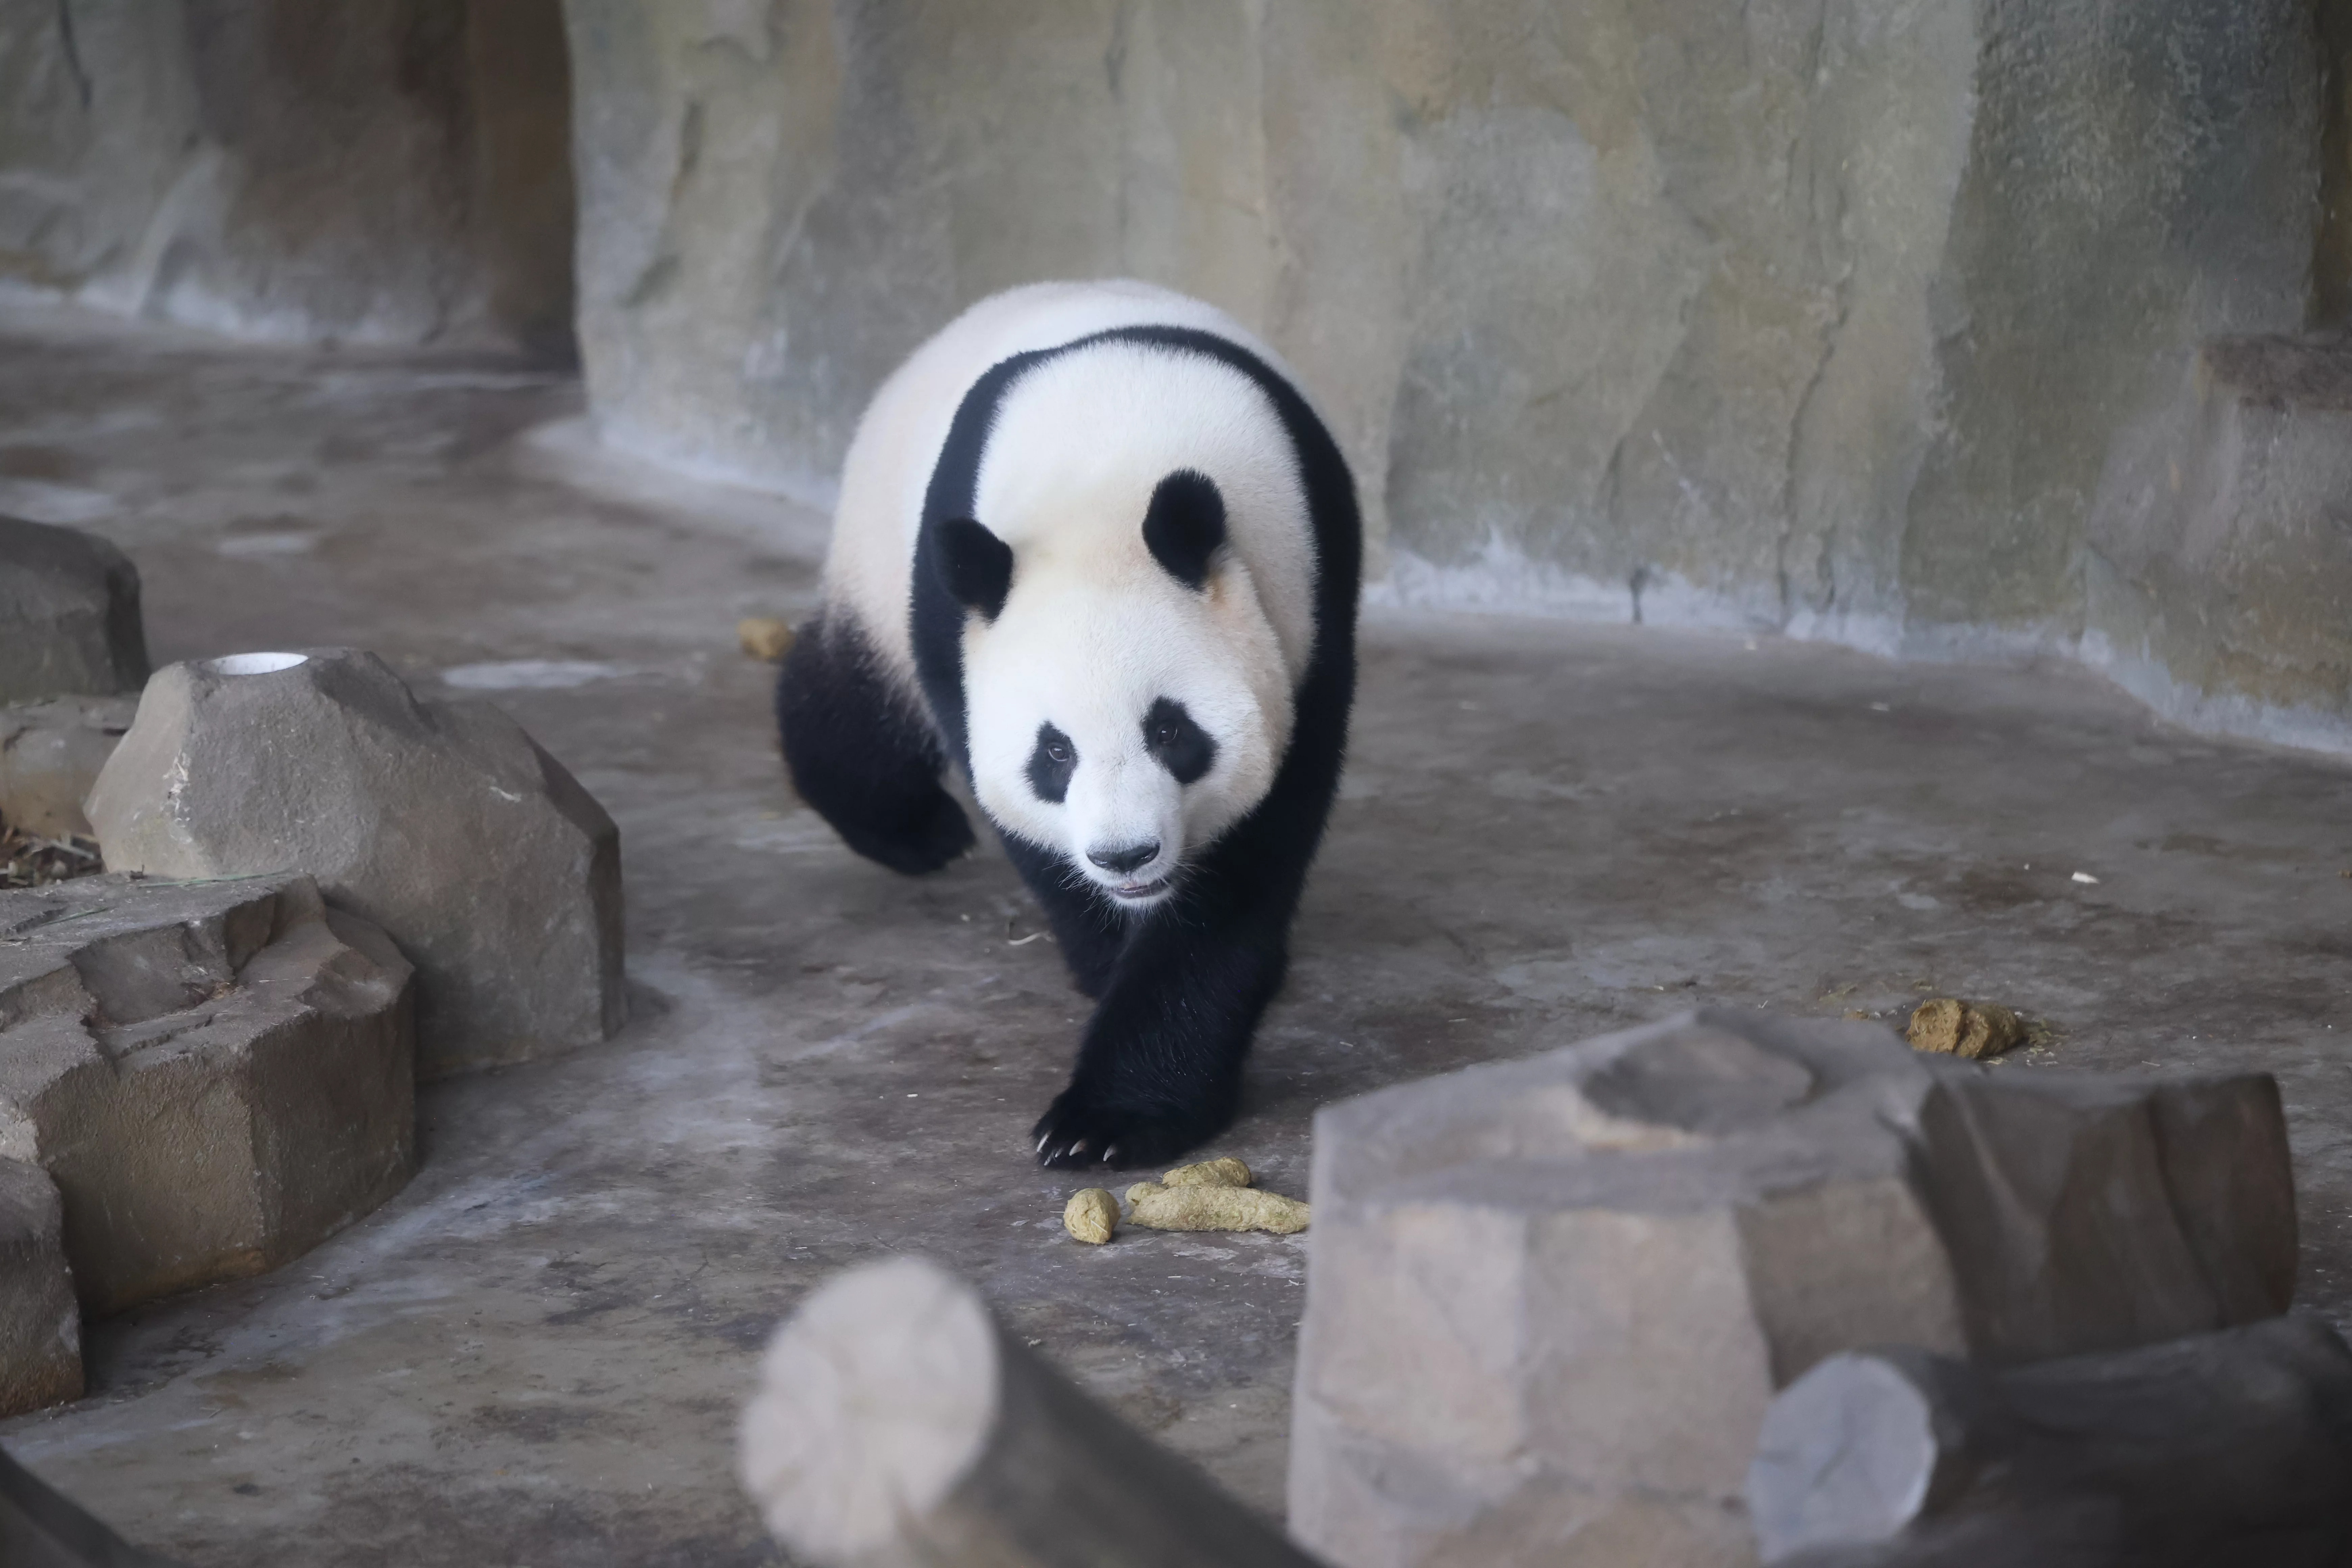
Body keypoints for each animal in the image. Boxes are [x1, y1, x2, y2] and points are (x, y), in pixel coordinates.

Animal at [776, 279, 1360, 1169]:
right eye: (1054, 752)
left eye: (1171, 731)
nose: (1126, 856)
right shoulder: (957, 617)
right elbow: (1021, 817)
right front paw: (1102, 959)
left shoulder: (1308, 605)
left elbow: (1244, 864)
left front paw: (1111, 1118)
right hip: (877, 542)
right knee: (853, 693)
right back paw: (915, 830)